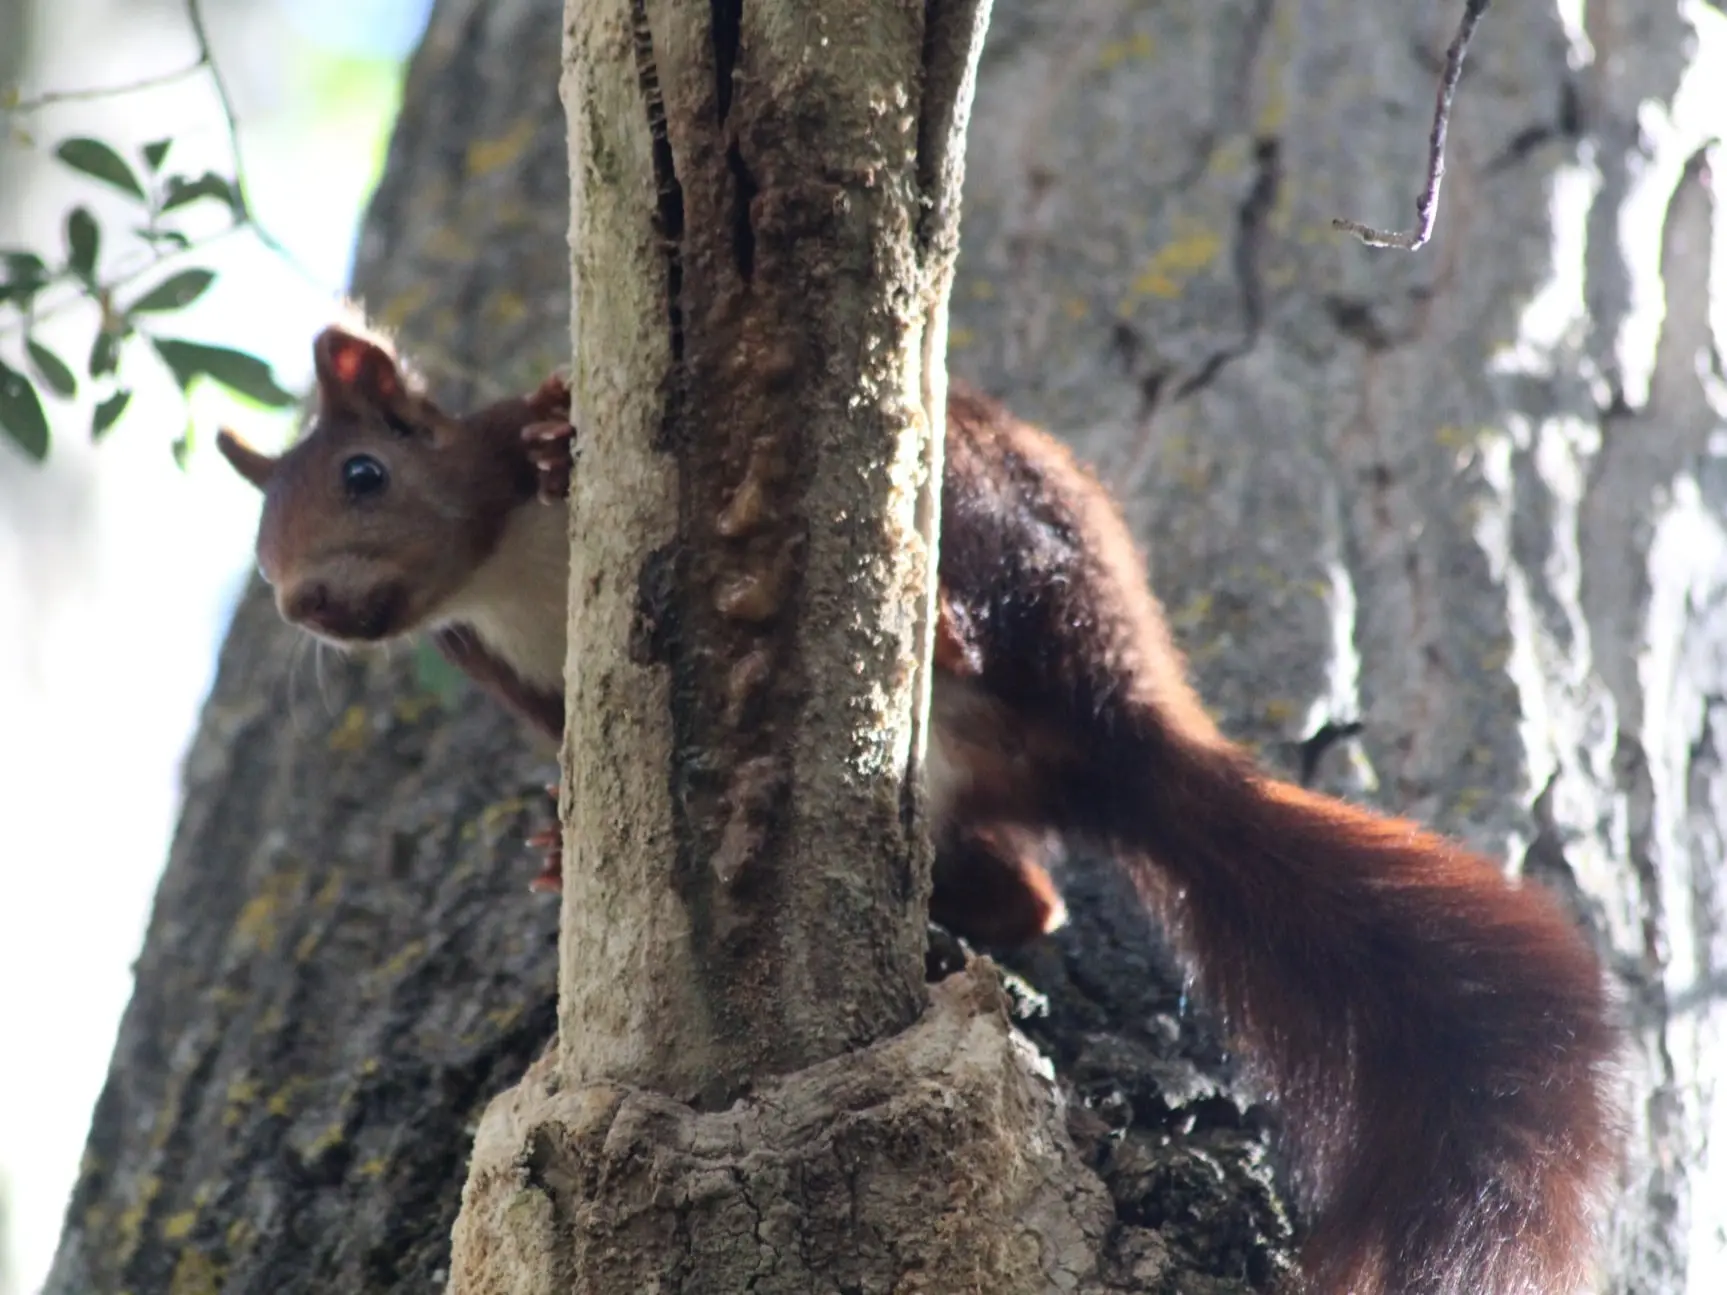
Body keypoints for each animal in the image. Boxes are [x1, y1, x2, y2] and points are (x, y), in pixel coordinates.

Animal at [219, 323, 1619, 1295]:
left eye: (362, 470)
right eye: (258, 546)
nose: (306, 605)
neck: (505, 578)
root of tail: (1122, 730)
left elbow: (541, 427)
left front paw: (559, 435)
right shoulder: (511, 675)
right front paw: (558, 848)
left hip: (1006, 518)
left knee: (994, 595)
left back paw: (948, 620)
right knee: (1027, 890)